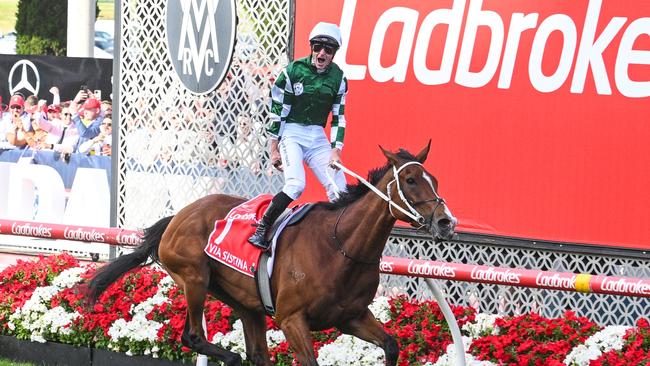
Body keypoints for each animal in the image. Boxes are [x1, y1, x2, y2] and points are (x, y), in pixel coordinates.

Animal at [86, 144, 456, 366]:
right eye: (410, 179)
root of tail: (179, 215)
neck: (341, 247)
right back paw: (230, 357)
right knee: (194, 336)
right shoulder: (292, 319)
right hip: (193, 276)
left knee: (256, 352)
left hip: (246, 302)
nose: (446, 221)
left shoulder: (351, 316)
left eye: (435, 179)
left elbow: (391, 345)